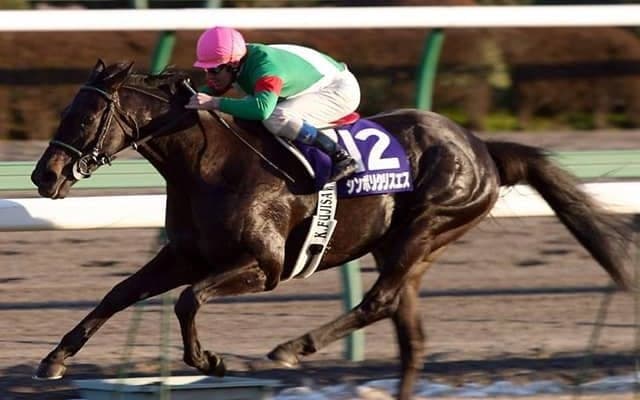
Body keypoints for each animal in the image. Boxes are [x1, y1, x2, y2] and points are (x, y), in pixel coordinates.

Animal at [30, 60, 632, 400]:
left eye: (86, 117)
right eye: (63, 111)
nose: (43, 176)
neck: (208, 163)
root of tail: (482, 147)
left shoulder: (265, 265)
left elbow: (187, 300)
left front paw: (210, 361)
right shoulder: (185, 255)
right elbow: (119, 292)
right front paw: (54, 359)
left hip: (427, 227)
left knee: (378, 302)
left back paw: (291, 347)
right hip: (408, 247)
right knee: (408, 332)